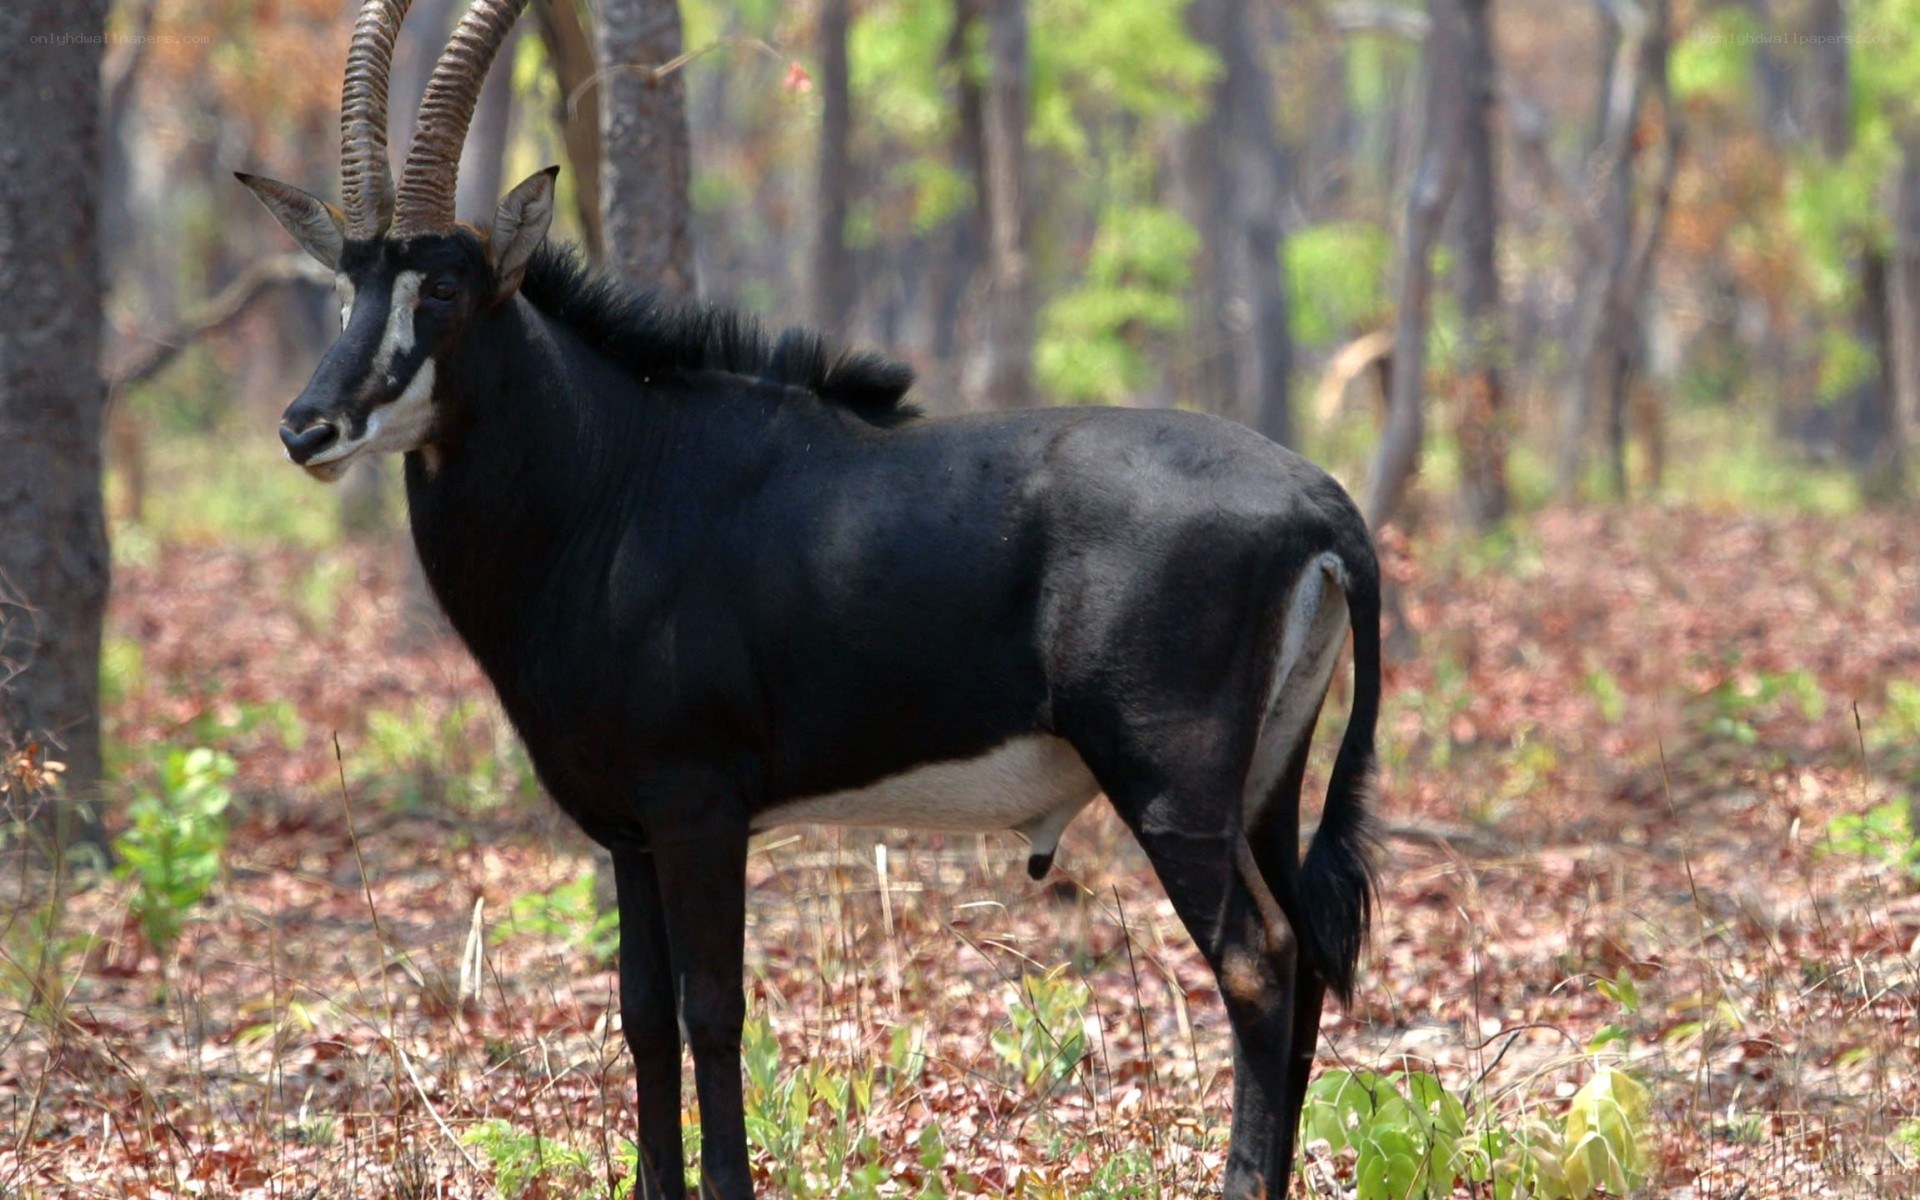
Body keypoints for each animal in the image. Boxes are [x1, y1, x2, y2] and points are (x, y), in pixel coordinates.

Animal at [238, 2, 1382, 1196]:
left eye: (444, 289)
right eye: (348, 286)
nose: (307, 427)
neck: (613, 476)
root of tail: (1320, 502)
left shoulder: (698, 808)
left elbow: (712, 1009)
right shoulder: (630, 832)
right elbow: (641, 1016)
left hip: (1172, 790)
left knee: (1257, 964)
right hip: (1265, 786)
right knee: (1306, 958)